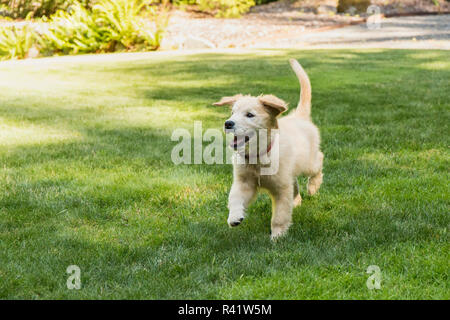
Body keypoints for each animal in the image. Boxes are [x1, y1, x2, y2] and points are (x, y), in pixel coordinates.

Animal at [213, 59, 322, 240]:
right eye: (232, 112)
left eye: (250, 115)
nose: (228, 123)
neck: (258, 156)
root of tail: (299, 116)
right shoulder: (244, 182)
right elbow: (234, 197)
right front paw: (234, 217)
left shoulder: (281, 189)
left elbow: (280, 215)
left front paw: (277, 236)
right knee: (295, 183)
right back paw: (297, 200)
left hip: (308, 163)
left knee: (319, 161)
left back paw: (313, 186)